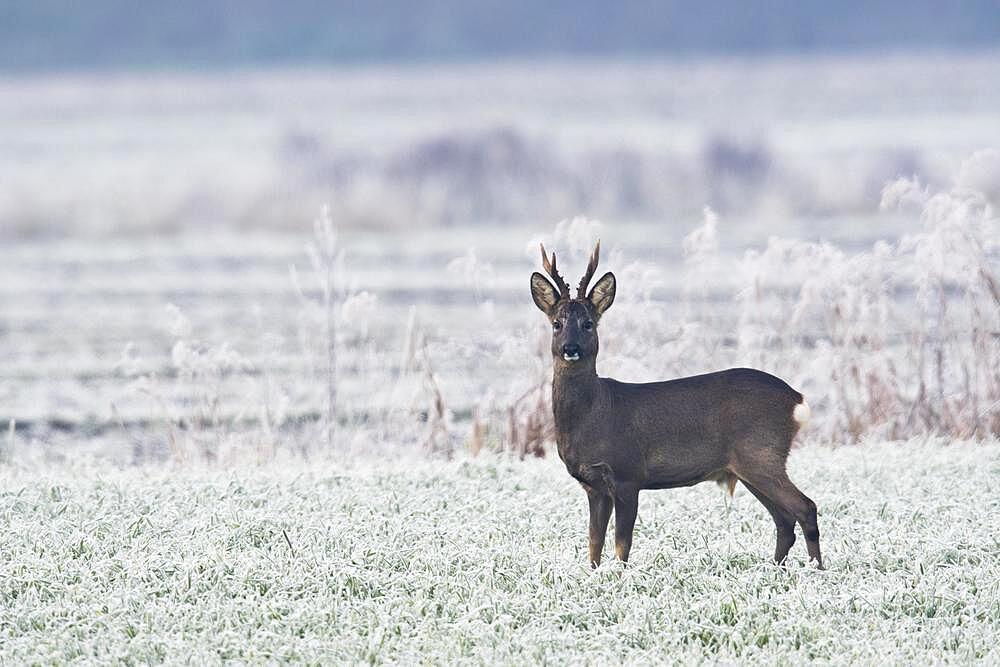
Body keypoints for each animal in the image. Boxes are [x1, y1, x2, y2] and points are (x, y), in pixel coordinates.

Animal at [532, 244, 820, 568]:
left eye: (588, 323)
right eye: (557, 324)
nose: (571, 348)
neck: (594, 414)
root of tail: (796, 398)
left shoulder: (628, 473)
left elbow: (622, 545)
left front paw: (617, 576)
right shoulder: (594, 485)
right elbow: (594, 543)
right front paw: (594, 575)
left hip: (761, 452)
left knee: (805, 508)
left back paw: (818, 571)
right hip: (751, 464)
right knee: (784, 520)